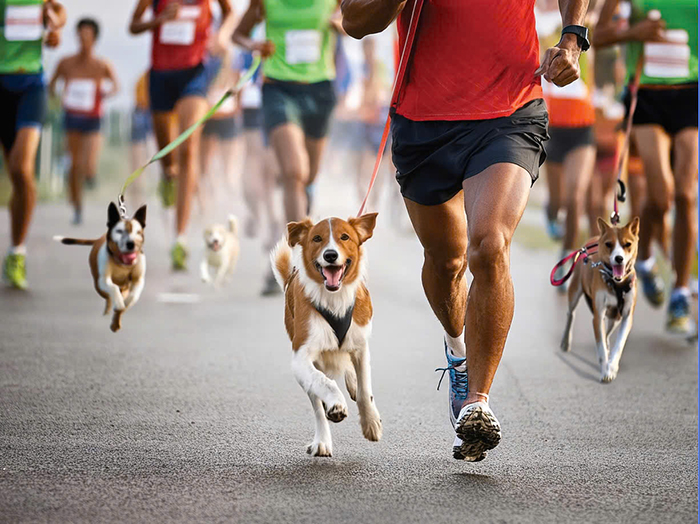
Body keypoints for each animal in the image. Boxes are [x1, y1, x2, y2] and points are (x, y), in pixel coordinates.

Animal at [55, 203, 148, 334]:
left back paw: (116, 319)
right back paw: (110, 309)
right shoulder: (103, 280)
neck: (121, 263)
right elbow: (113, 288)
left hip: (124, 287)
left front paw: (125, 304)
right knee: (108, 296)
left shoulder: (138, 280)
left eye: (138, 232)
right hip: (99, 286)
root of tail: (100, 238)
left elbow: (133, 295)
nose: (131, 244)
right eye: (119, 231)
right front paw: (118, 303)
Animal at [272, 212, 382, 454]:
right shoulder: (301, 356)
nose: (330, 255)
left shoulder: (360, 345)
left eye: (345, 237)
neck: (334, 299)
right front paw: (336, 404)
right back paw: (322, 440)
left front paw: (371, 423)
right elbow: (324, 383)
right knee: (317, 405)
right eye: (317, 239)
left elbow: (364, 390)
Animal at [560, 217, 644, 380]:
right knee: (570, 314)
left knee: (607, 332)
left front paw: (612, 366)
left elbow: (619, 344)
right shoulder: (598, 315)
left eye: (628, 244)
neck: (617, 284)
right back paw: (565, 341)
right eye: (609, 244)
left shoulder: (626, 316)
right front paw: (605, 370)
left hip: (615, 317)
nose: (619, 258)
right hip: (575, 290)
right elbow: (601, 347)